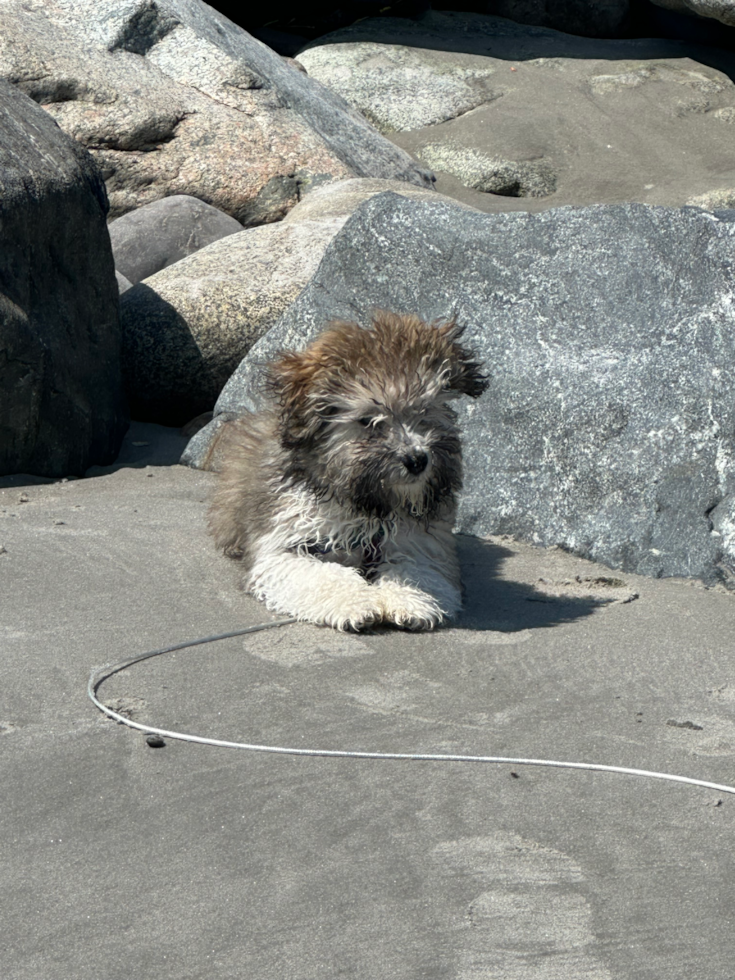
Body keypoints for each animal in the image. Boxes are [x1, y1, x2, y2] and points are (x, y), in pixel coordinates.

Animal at [210, 314, 488, 636]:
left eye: (424, 410)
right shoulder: (285, 543)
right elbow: (322, 574)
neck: (368, 507)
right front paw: (355, 603)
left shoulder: (421, 543)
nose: (417, 459)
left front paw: (410, 600)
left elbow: (415, 568)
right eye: (367, 420)